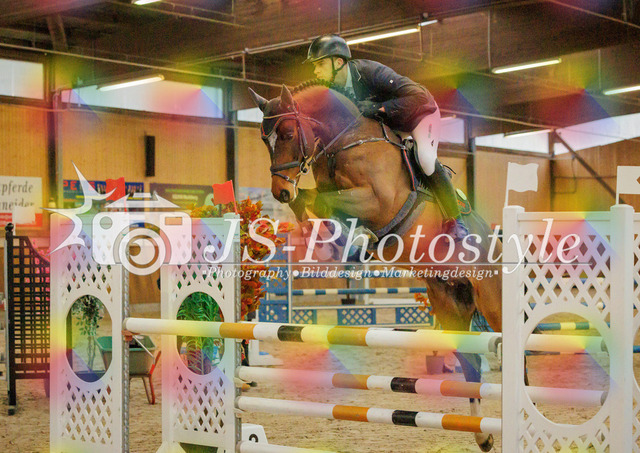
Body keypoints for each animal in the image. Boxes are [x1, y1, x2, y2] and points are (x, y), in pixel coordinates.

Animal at [249, 81, 502, 452]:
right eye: (263, 140)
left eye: (286, 133)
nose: (279, 191)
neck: (344, 141)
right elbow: (314, 201)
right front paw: (331, 235)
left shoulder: (377, 200)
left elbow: (323, 202)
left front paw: (353, 241)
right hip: (450, 303)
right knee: (471, 366)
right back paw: (482, 435)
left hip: (492, 301)